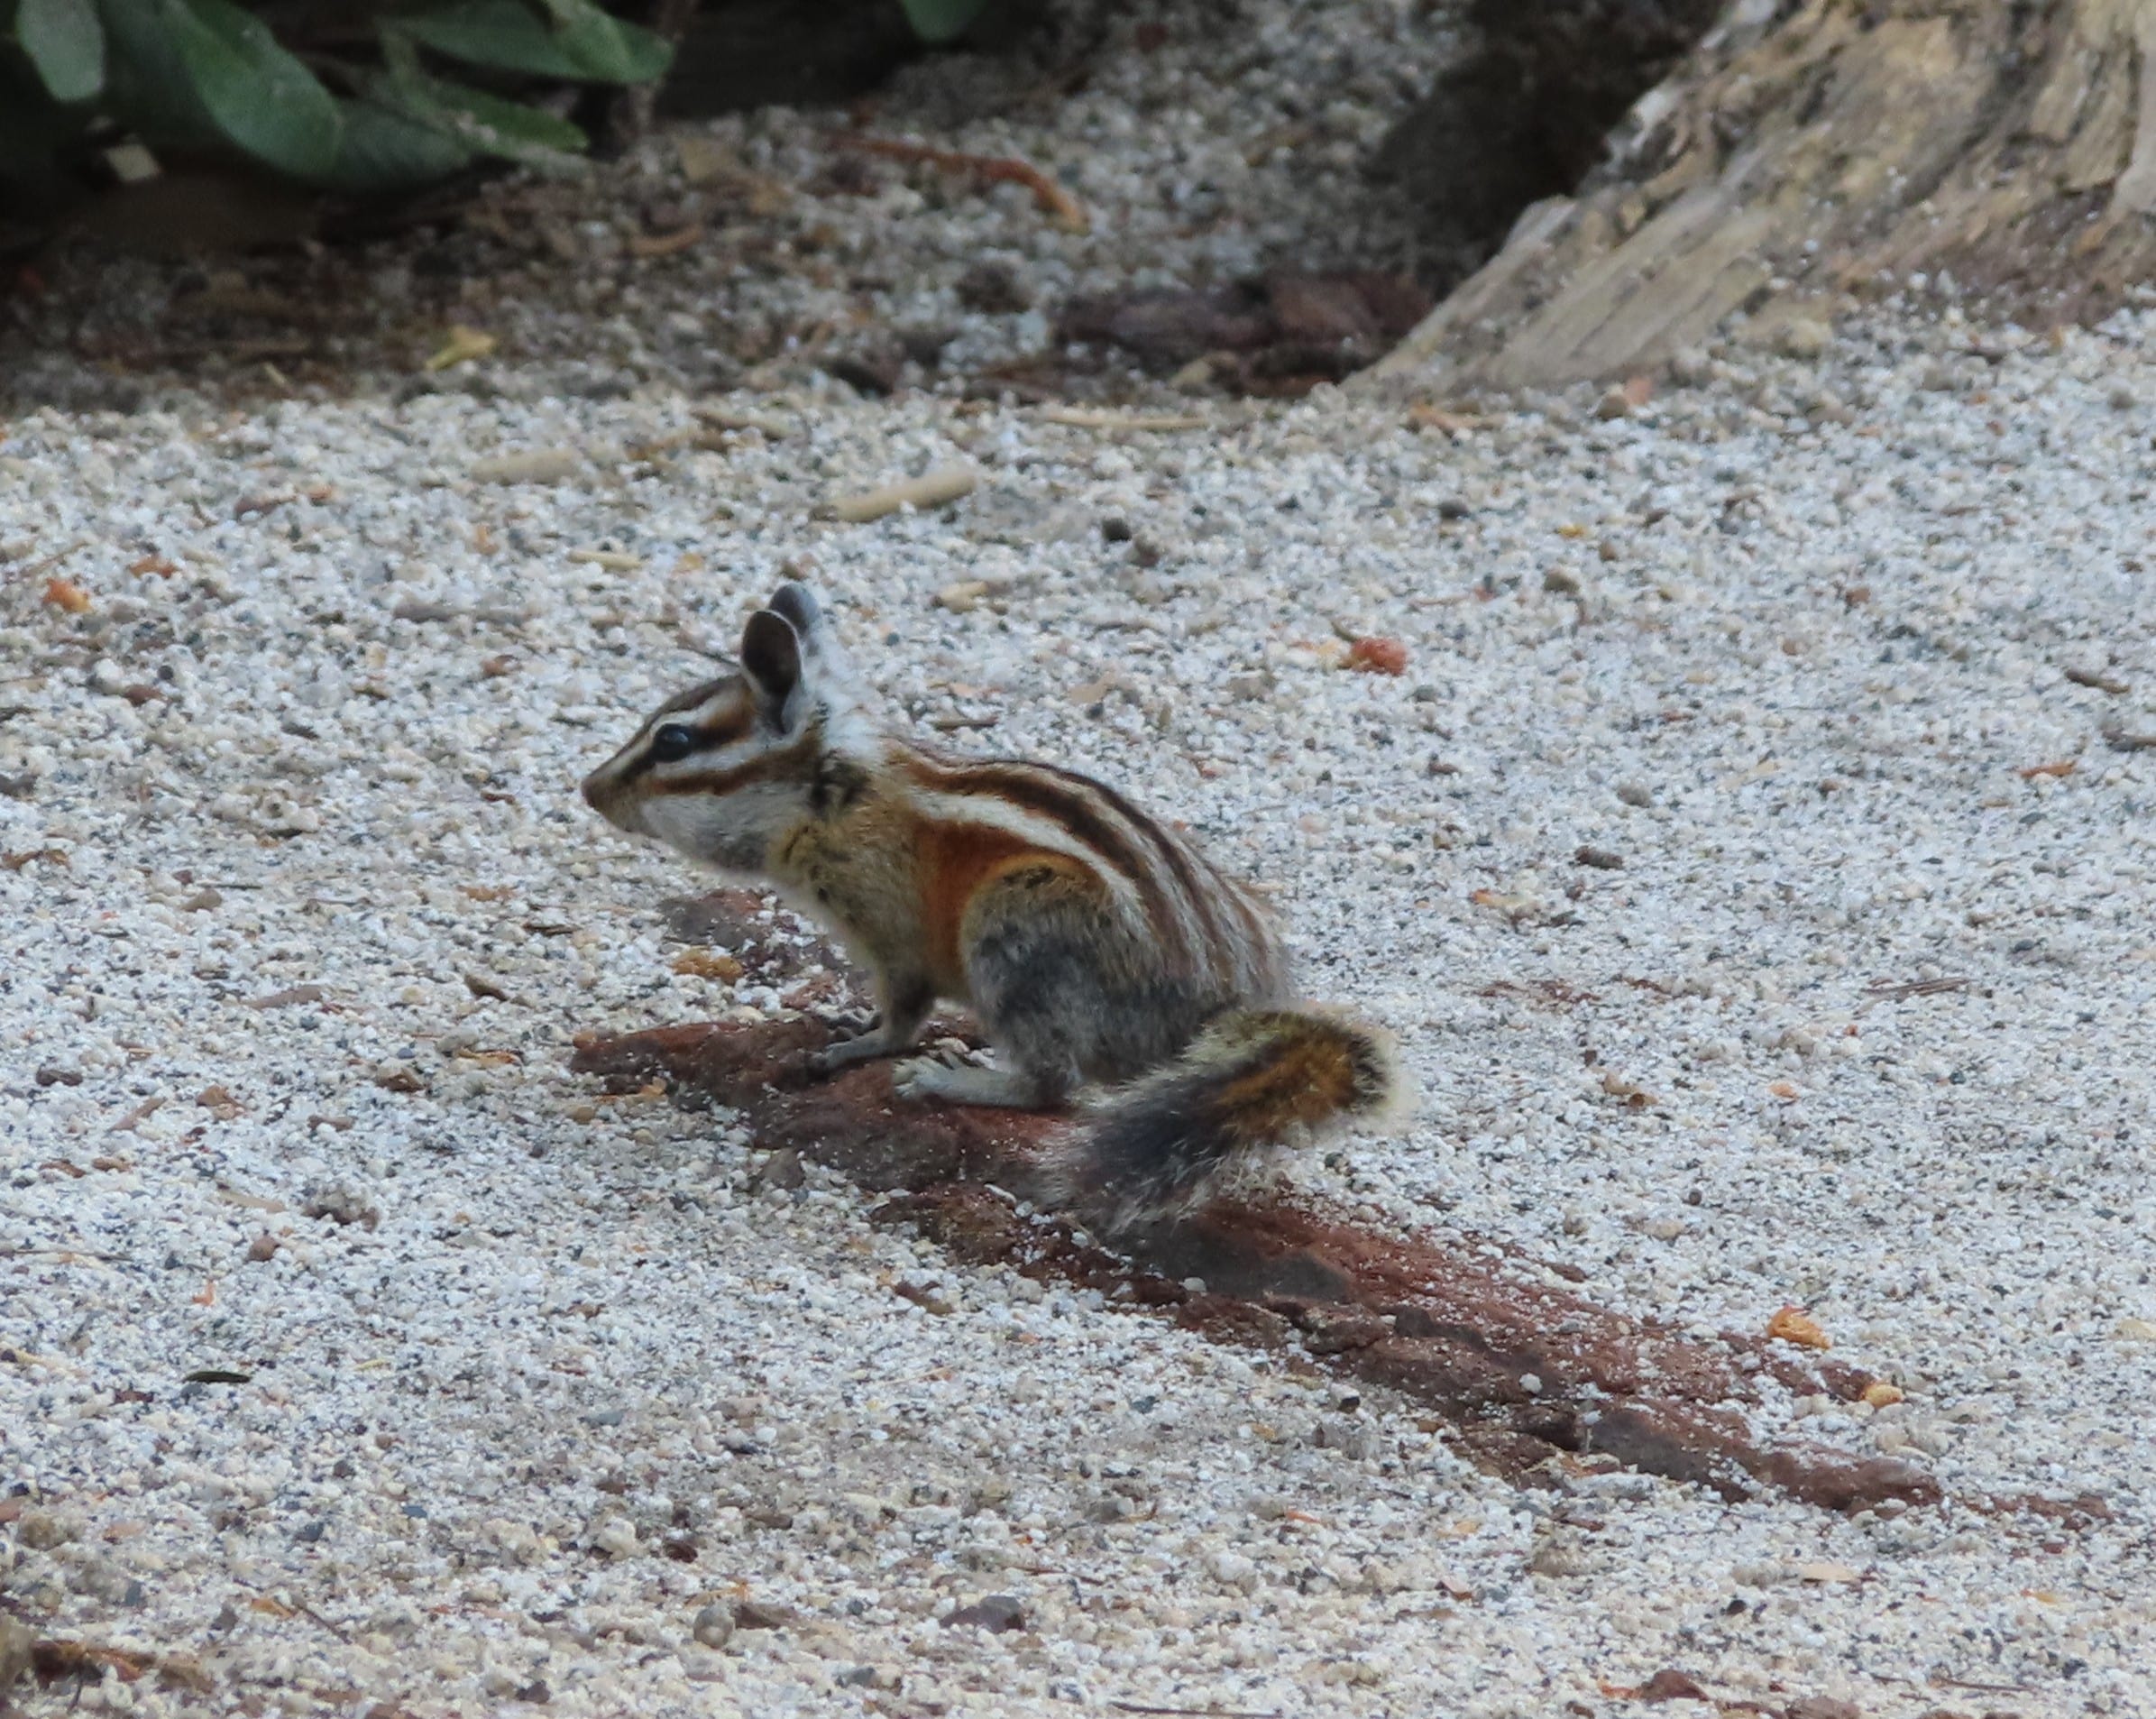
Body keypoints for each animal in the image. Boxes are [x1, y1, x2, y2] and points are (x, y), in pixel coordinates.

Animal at [581, 582, 1402, 1231]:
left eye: (673, 742)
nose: (589, 790)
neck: (833, 797)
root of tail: (1209, 1017)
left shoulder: (890, 931)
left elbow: (903, 1010)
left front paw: (862, 1045)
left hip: (1017, 927)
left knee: (1053, 1087)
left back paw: (953, 1079)